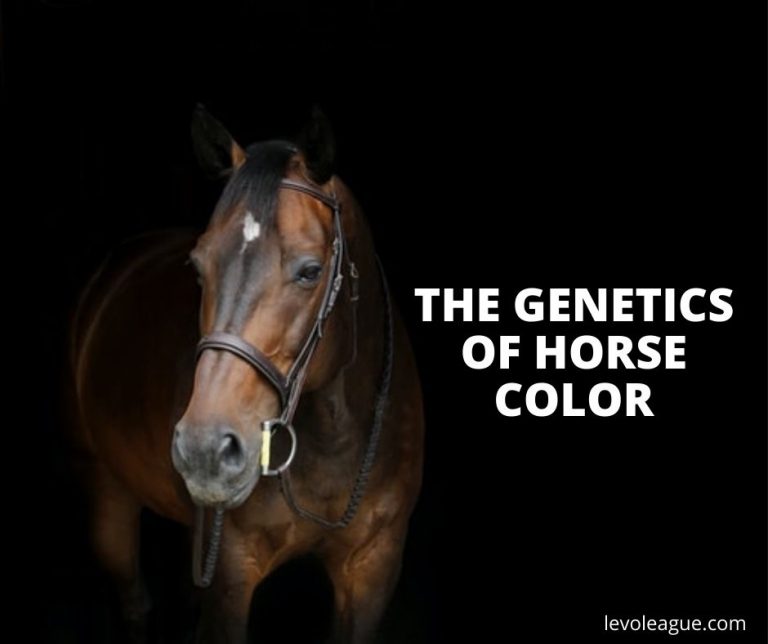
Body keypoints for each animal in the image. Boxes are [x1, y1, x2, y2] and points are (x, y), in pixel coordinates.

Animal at [70, 106, 424, 643]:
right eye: (198, 268)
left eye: (310, 271)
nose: (204, 449)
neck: (334, 439)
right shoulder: (232, 574)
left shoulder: (373, 569)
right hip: (107, 490)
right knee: (133, 602)